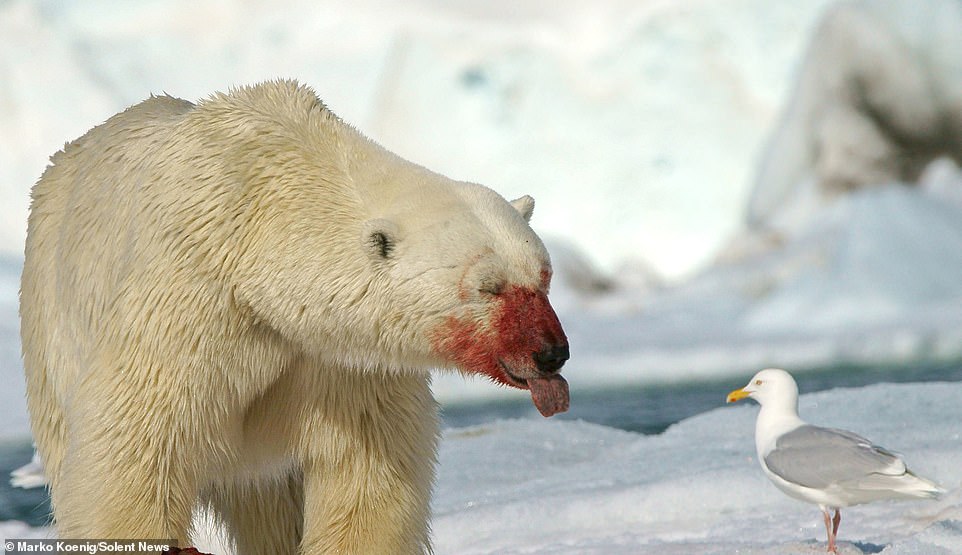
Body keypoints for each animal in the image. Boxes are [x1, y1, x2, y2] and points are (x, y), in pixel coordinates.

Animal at [20, 80, 568, 552]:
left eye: (543, 277)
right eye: (489, 287)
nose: (552, 353)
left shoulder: (341, 355)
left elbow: (366, 468)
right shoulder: (188, 300)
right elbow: (136, 442)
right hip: (50, 324)